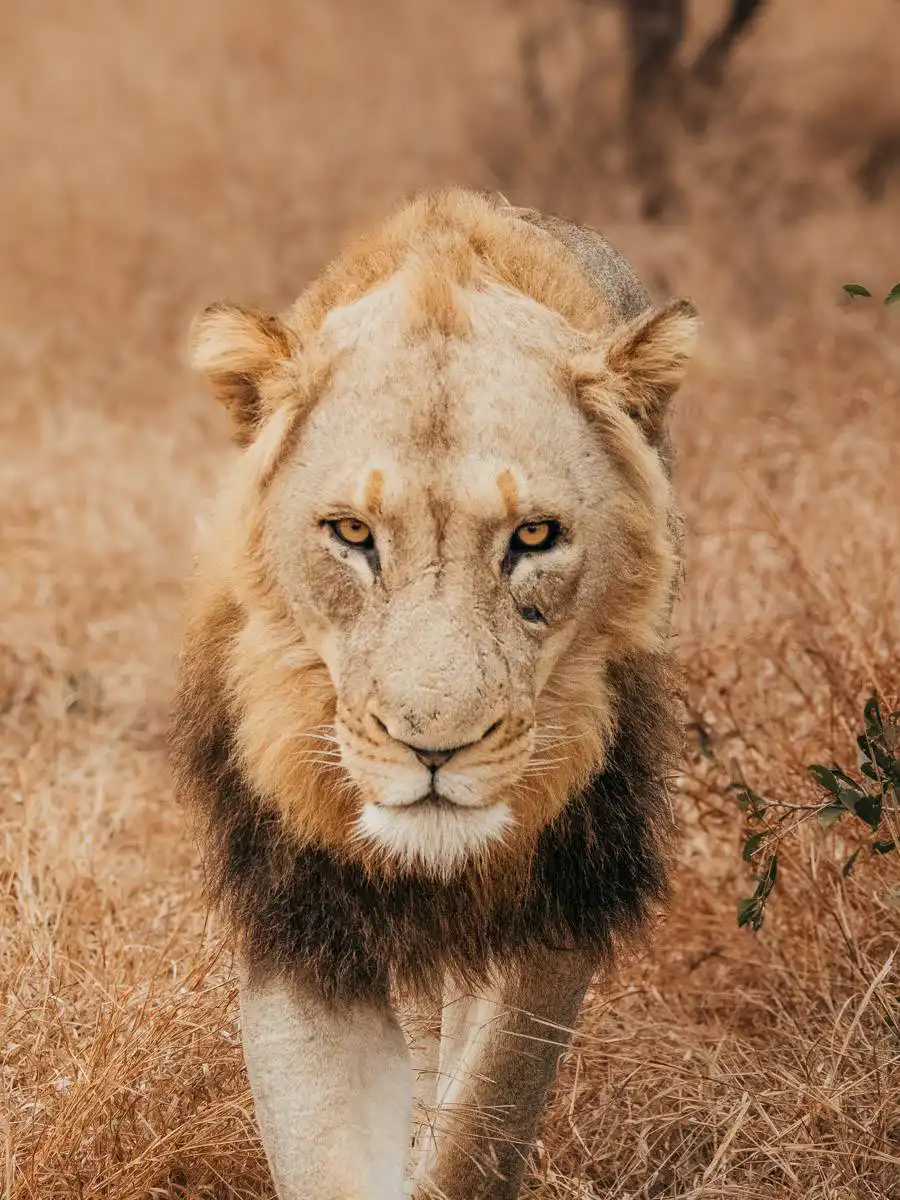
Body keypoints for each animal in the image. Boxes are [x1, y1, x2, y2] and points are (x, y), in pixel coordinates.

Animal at [169, 188, 699, 1199]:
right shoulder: (301, 917)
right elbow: (327, 1149)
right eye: (350, 533)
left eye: (534, 536)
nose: (434, 749)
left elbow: (483, 1121)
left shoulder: (558, 897)